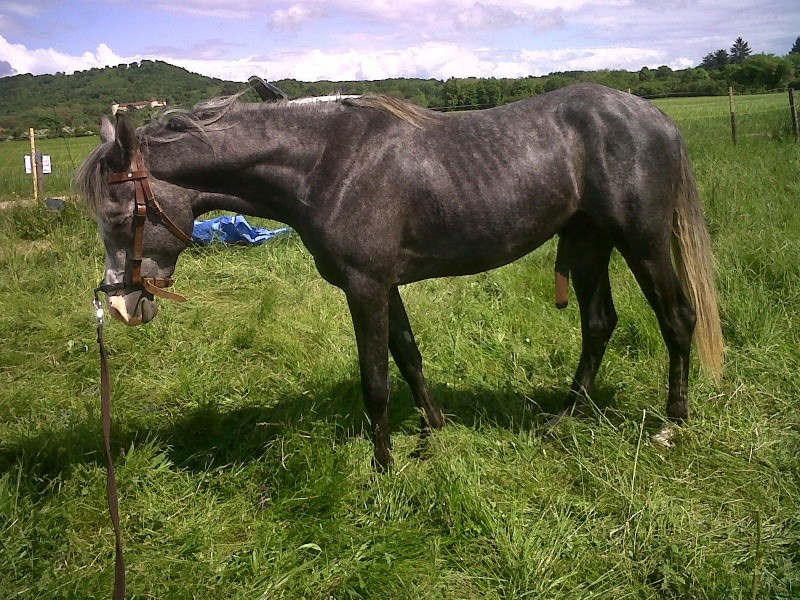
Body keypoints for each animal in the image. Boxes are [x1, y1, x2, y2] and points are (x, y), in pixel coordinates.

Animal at [76, 83, 724, 468]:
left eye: (120, 216)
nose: (121, 305)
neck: (326, 164)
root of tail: (656, 117)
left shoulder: (365, 286)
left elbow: (376, 379)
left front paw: (383, 464)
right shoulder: (385, 285)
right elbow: (409, 355)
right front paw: (435, 429)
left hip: (641, 243)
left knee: (676, 317)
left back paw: (672, 424)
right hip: (588, 241)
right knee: (598, 323)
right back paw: (567, 416)